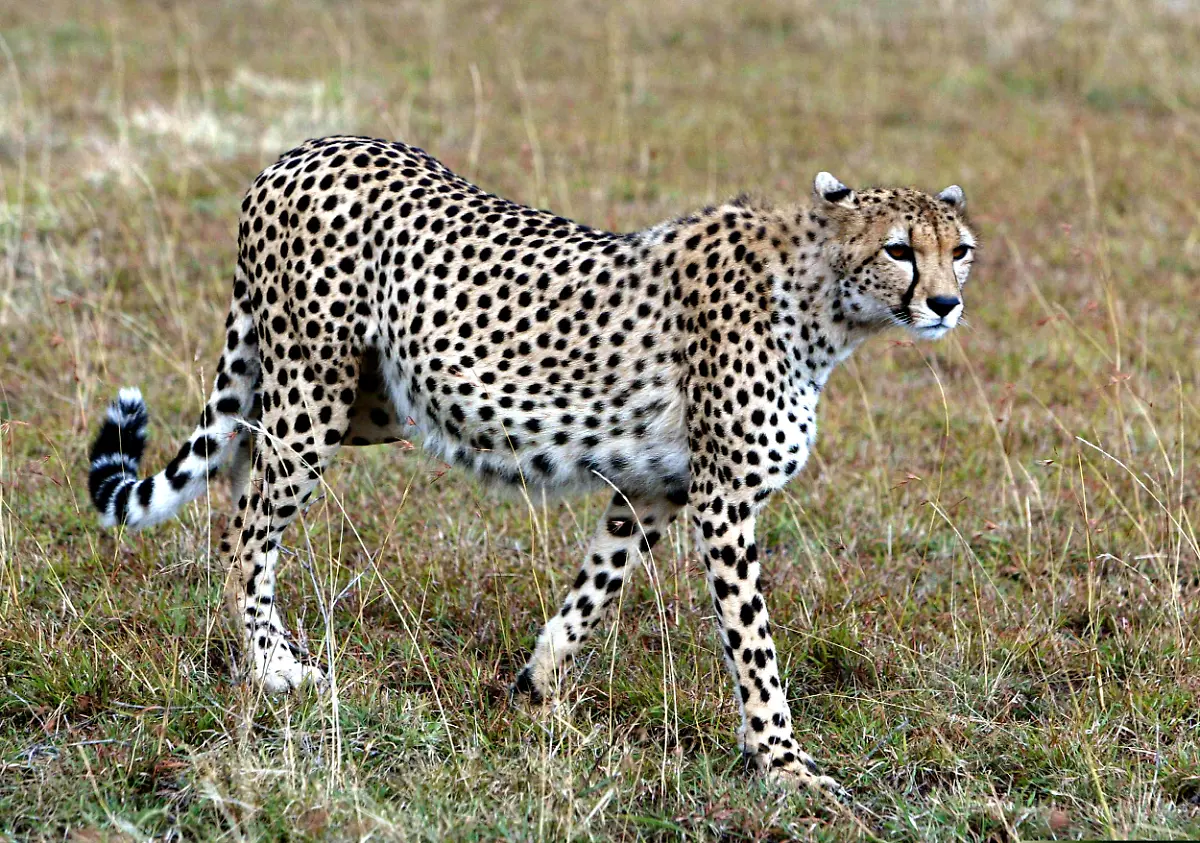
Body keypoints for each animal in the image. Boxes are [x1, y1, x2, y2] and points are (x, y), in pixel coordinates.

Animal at [88, 135, 976, 795]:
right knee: (246, 529)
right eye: (900, 249)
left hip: (367, 399)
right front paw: (787, 767)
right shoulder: (723, 499)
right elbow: (753, 649)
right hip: (317, 392)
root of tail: (302, 149)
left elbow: (594, 592)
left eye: (960, 250)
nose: (946, 303)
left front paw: (537, 694)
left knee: (237, 463)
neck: (828, 303)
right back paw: (271, 665)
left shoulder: (653, 488)